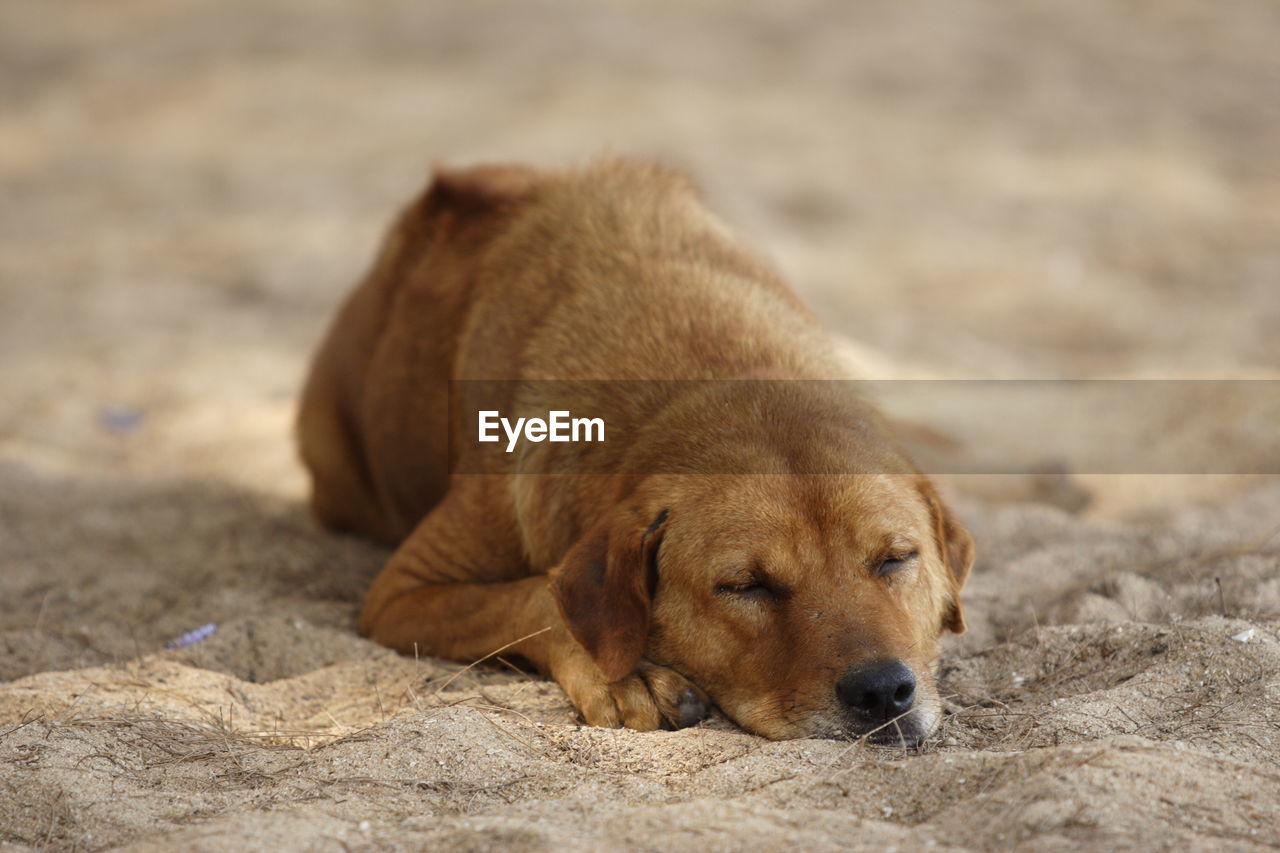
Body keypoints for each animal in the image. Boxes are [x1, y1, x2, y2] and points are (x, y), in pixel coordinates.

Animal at [299, 161, 972, 742]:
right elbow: (536, 594)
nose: (882, 692)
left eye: (895, 559)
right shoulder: (402, 593)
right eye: (746, 586)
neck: (716, 369)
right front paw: (627, 673)